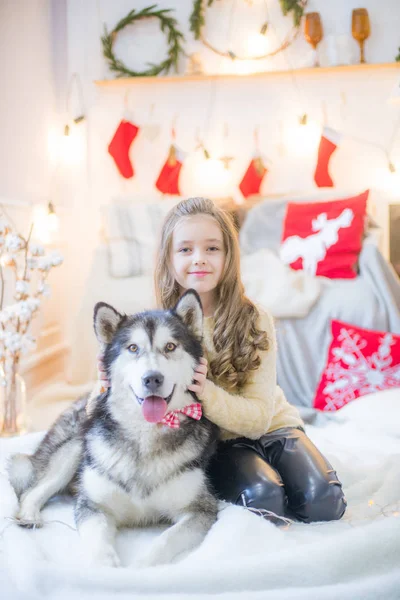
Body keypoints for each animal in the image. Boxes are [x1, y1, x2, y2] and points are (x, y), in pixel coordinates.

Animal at [6, 290, 219, 568]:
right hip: (77, 447)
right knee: (34, 489)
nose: (152, 378)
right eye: (133, 348)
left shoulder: (201, 509)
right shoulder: (93, 506)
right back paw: (30, 514)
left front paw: (140, 568)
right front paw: (109, 567)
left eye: (171, 347)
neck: (144, 436)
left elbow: (166, 540)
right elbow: (98, 542)